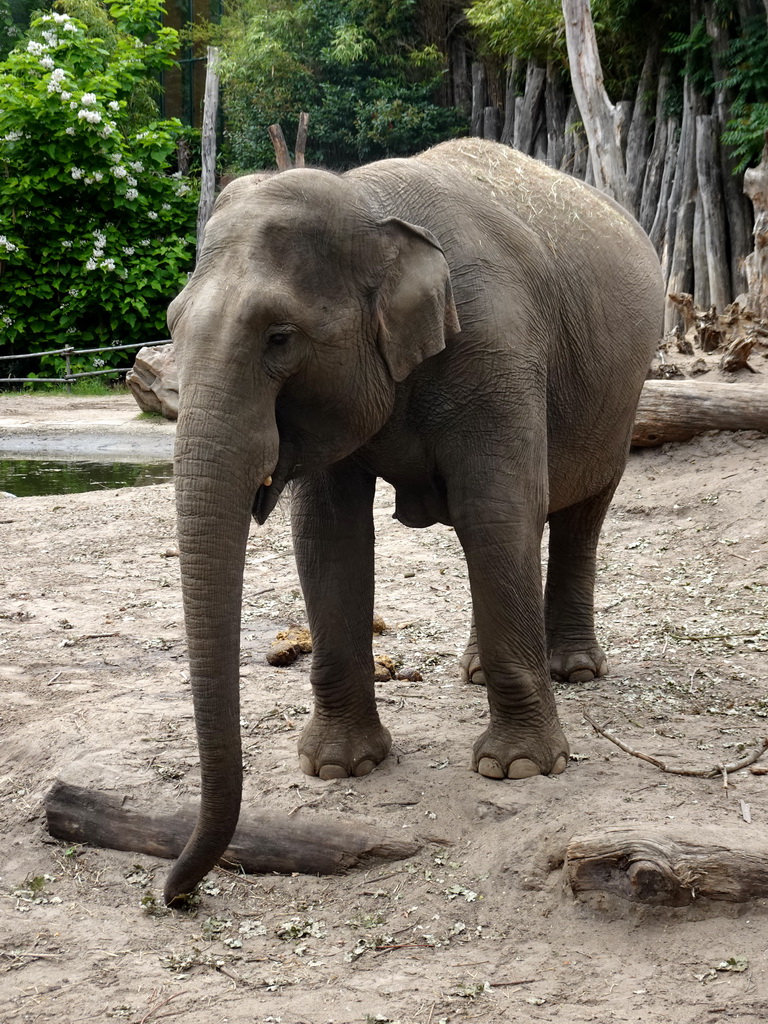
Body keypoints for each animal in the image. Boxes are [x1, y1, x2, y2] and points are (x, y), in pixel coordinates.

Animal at [163, 136, 667, 905]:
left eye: (279, 337)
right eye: (171, 325)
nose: (178, 895)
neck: (369, 206)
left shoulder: (496, 347)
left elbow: (499, 508)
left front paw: (519, 770)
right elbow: (330, 536)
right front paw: (338, 767)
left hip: (622, 394)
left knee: (579, 511)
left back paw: (574, 671)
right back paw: (475, 671)